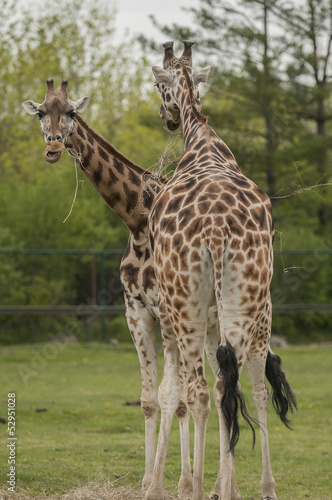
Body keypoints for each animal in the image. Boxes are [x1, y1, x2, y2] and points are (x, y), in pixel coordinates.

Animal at [21, 76, 220, 498]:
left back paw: (213, 486)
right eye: (41, 113)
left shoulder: (168, 312)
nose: (53, 146)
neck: (138, 224)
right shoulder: (135, 310)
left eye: (72, 112)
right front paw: (149, 481)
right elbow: (148, 398)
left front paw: (173, 484)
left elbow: (174, 397)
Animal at [147, 43, 296, 500]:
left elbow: (180, 391)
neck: (203, 140)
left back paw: (200, 488)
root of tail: (214, 227)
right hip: (243, 301)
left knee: (201, 390)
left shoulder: (175, 308)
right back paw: (247, 488)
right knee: (235, 387)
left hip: (188, 307)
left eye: (158, 86)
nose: (168, 118)